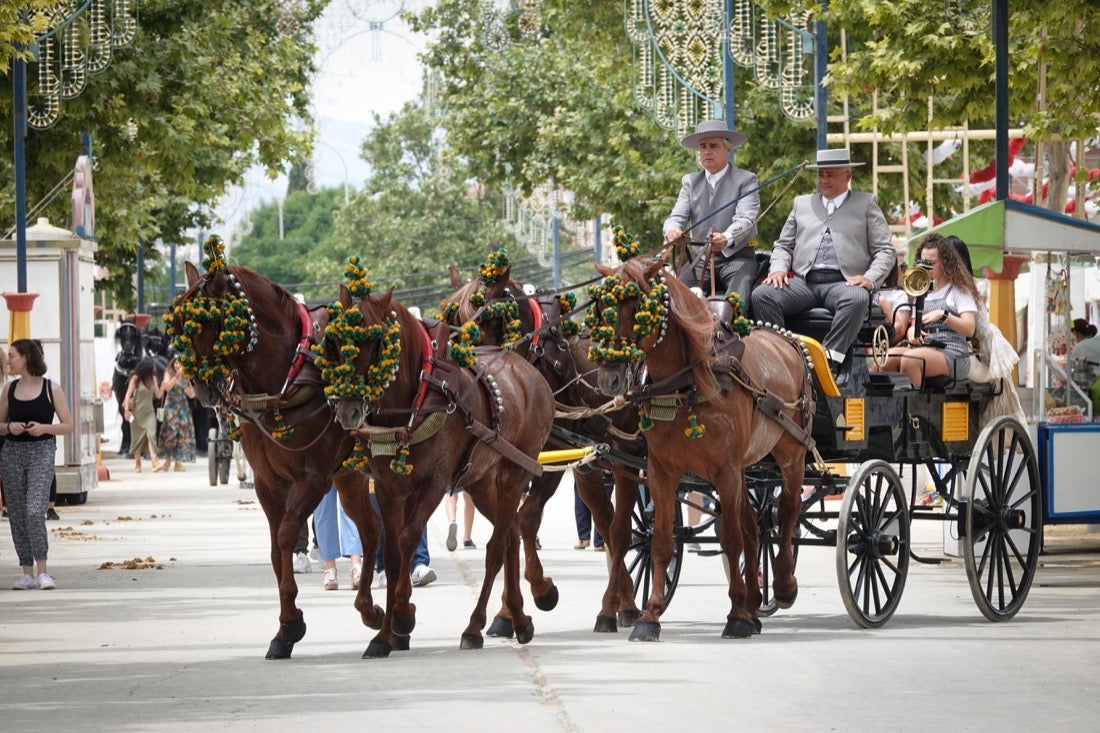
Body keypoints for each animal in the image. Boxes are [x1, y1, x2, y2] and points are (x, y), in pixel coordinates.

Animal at [168, 256, 382, 655]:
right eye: (176, 322)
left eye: (207, 321)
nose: (201, 387)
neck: (288, 376)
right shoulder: (268, 481)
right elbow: (272, 548)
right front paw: (285, 628)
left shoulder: (314, 478)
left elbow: (285, 536)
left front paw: (291, 623)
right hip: (349, 477)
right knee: (372, 529)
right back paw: (370, 610)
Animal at [323, 280, 550, 651]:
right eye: (336, 341)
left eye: (378, 342)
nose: (348, 409)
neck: (416, 401)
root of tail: (526, 370)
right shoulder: (388, 487)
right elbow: (392, 550)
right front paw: (384, 635)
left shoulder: (434, 484)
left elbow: (407, 538)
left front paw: (402, 614)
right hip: (480, 481)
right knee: (512, 534)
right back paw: (518, 618)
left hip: (513, 473)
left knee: (497, 546)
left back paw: (476, 625)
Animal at [589, 256, 814, 638]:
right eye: (602, 307)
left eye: (638, 306)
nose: (610, 378)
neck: (688, 382)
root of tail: (784, 338)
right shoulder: (661, 470)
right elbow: (662, 541)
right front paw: (650, 617)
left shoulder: (725, 470)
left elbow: (730, 538)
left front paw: (736, 616)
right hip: (745, 469)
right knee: (755, 526)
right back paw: (754, 604)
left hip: (790, 453)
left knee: (786, 513)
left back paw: (783, 586)